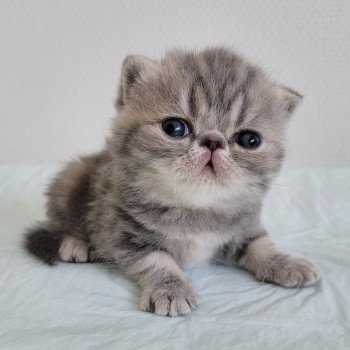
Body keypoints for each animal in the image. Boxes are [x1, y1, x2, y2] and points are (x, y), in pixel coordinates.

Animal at [23, 47, 320, 318]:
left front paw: (285, 263)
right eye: (174, 128)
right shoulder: (121, 231)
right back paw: (76, 243)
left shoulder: (243, 224)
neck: (195, 208)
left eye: (249, 140)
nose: (213, 141)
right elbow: (157, 260)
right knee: (59, 221)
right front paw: (171, 289)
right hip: (70, 180)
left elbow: (260, 244)